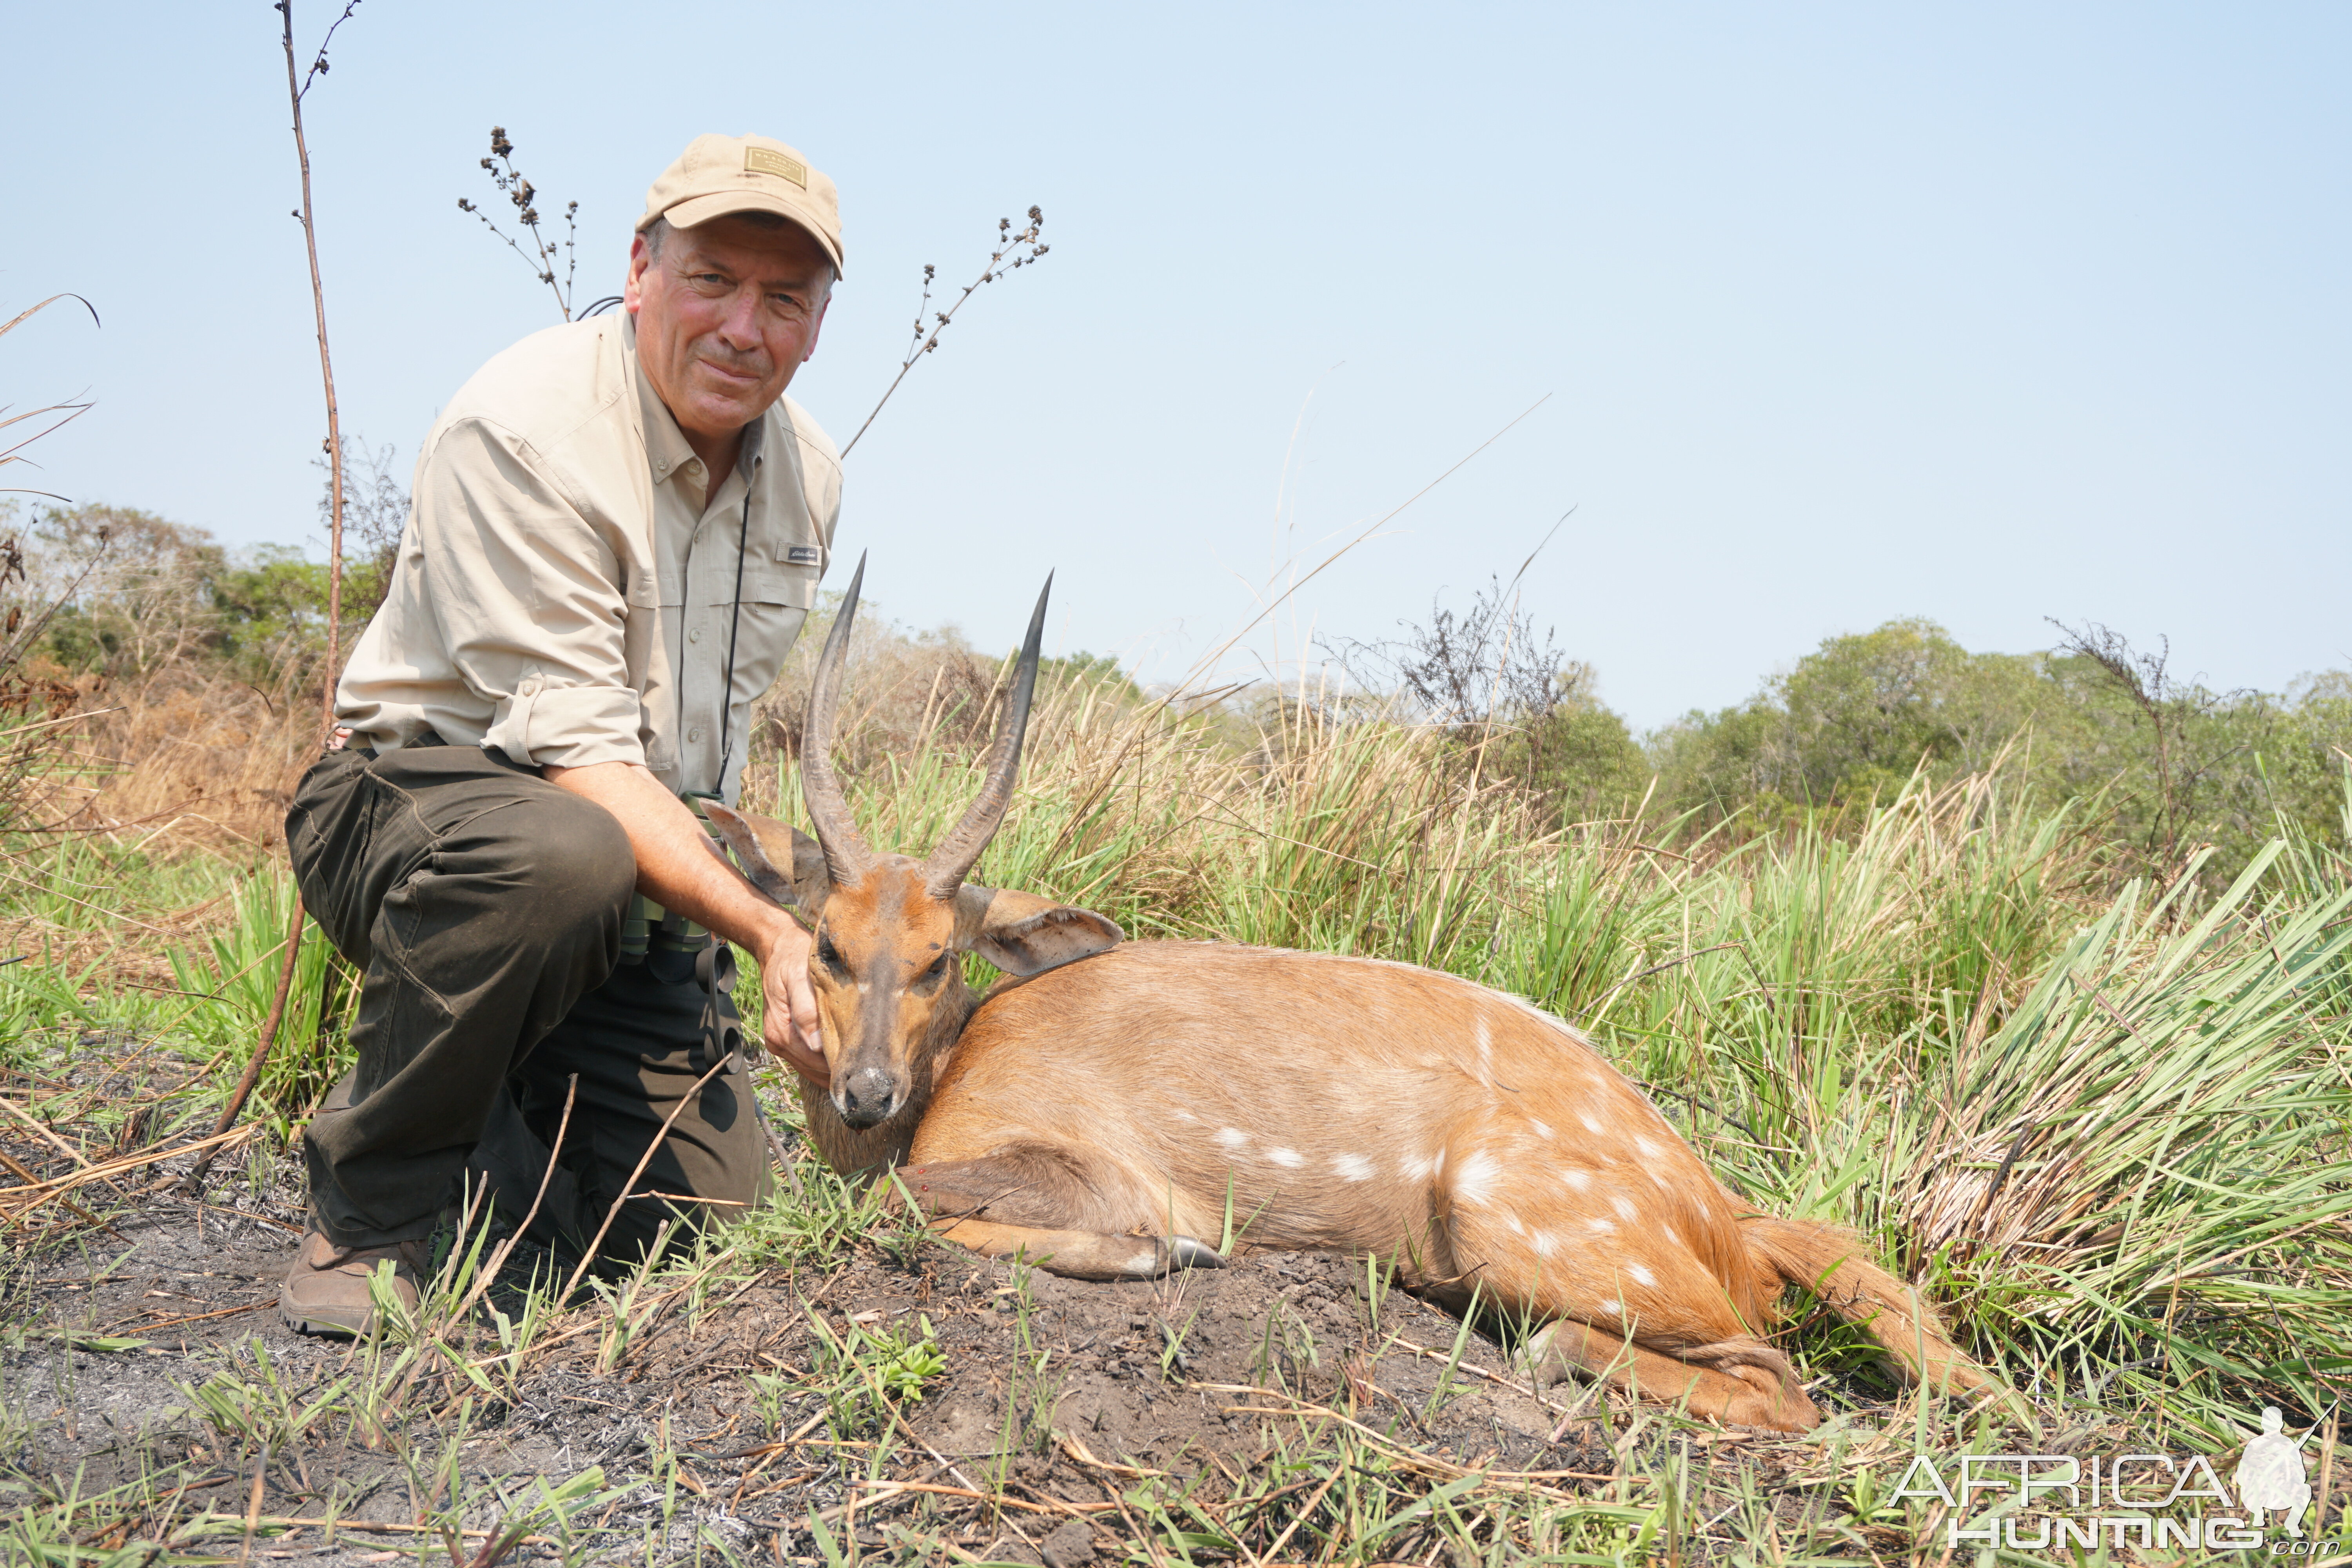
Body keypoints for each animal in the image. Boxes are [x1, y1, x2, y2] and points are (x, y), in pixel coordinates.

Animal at [706, 564, 1994, 1439]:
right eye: (828, 942)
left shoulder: (1091, 1164)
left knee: (1782, 1383)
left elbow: (910, 1206)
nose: (865, 1092)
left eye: (937, 958)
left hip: (1503, 1209)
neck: (961, 1057)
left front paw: (1164, 1252)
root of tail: (1729, 1217)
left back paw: (1543, 1354)